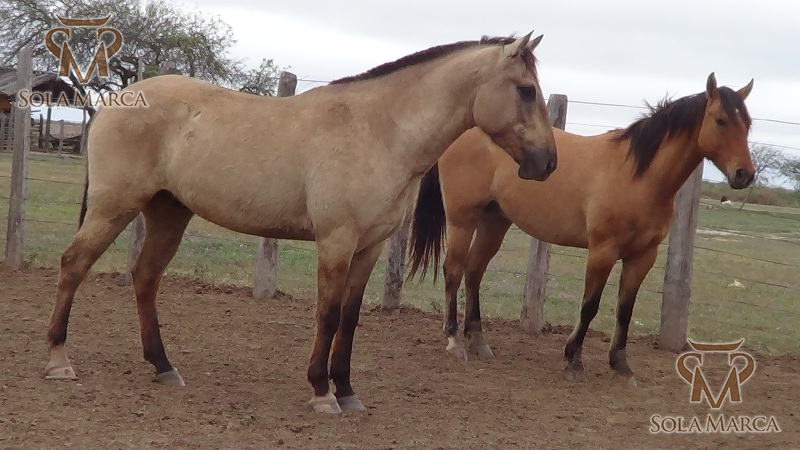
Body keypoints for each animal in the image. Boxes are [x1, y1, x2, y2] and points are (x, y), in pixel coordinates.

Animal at [43, 32, 559, 415]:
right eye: (526, 90)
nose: (548, 163)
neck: (379, 130)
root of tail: (116, 99)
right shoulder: (336, 241)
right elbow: (327, 314)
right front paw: (321, 392)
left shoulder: (368, 247)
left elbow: (350, 317)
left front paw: (347, 391)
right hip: (115, 208)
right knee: (73, 265)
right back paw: (59, 360)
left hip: (168, 213)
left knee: (145, 278)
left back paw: (163, 366)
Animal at [407, 73, 754, 385]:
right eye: (721, 120)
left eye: (748, 123)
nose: (745, 174)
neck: (639, 176)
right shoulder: (602, 251)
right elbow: (590, 306)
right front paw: (573, 361)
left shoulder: (643, 256)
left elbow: (624, 310)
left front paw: (621, 366)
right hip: (463, 219)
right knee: (454, 269)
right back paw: (455, 341)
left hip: (495, 221)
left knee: (474, 272)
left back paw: (479, 341)